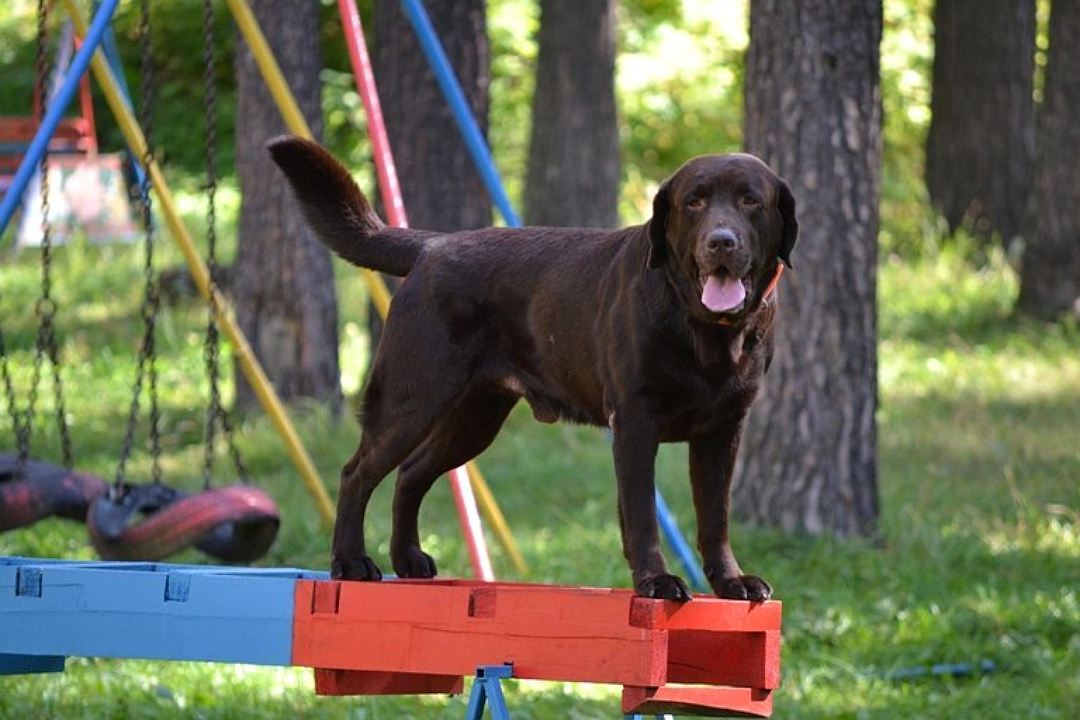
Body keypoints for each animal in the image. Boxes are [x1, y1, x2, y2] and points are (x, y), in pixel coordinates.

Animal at [267, 136, 794, 604]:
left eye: (750, 200)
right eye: (694, 202)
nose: (721, 241)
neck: (706, 334)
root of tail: (432, 246)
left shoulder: (723, 430)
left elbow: (715, 518)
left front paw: (731, 583)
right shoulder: (635, 423)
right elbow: (643, 514)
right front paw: (657, 582)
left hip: (474, 418)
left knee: (410, 474)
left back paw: (409, 560)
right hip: (410, 399)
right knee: (356, 473)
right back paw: (352, 562)